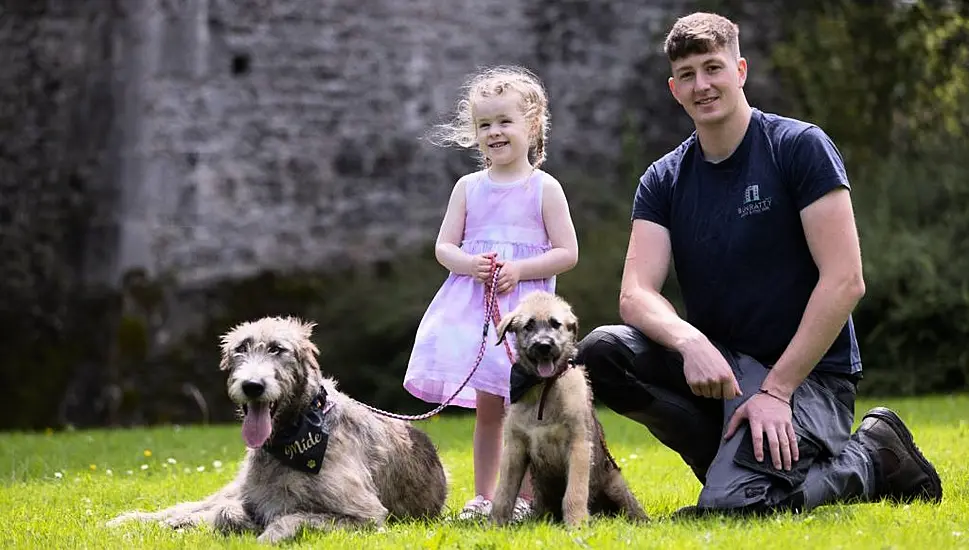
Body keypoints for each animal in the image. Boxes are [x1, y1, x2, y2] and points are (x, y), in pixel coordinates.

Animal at [108, 316, 448, 544]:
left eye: (277, 349)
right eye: (241, 348)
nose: (252, 386)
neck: (295, 433)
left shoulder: (365, 515)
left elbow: (290, 517)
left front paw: (263, 534)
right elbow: (225, 511)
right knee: (190, 506)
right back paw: (131, 520)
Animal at [492, 296, 644, 528]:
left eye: (556, 324)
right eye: (528, 326)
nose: (544, 346)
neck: (544, 388)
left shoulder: (578, 445)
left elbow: (575, 492)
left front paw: (576, 524)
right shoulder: (514, 449)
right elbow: (503, 493)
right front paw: (494, 525)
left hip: (616, 486)